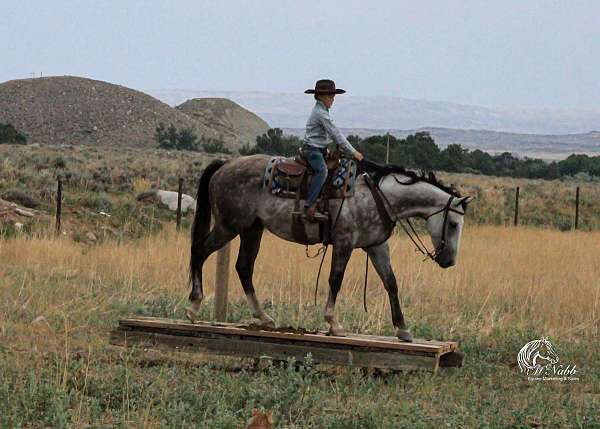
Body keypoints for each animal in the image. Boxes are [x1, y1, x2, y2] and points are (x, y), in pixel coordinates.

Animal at [188, 154, 474, 342]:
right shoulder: (345, 243)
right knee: (200, 251)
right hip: (229, 226)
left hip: (252, 229)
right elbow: (335, 280)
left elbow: (391, 282)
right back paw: (193, 306)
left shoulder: (376, 246)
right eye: (453, 224)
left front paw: (403, 329)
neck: (378, 197)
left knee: (243, 267)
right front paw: (333, 324)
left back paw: (264, 318)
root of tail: (224, 165)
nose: (449, 261)